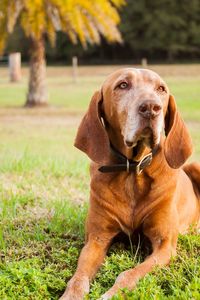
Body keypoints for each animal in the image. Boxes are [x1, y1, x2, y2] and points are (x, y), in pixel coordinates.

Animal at [61, 68, 200, 300]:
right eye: (123, 85)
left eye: (161, 89)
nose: (151, 108)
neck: (132, 171)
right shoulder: (96, 239)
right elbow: (78, 279)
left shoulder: (165, 245)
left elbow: (129, 274)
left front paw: (112, 294)